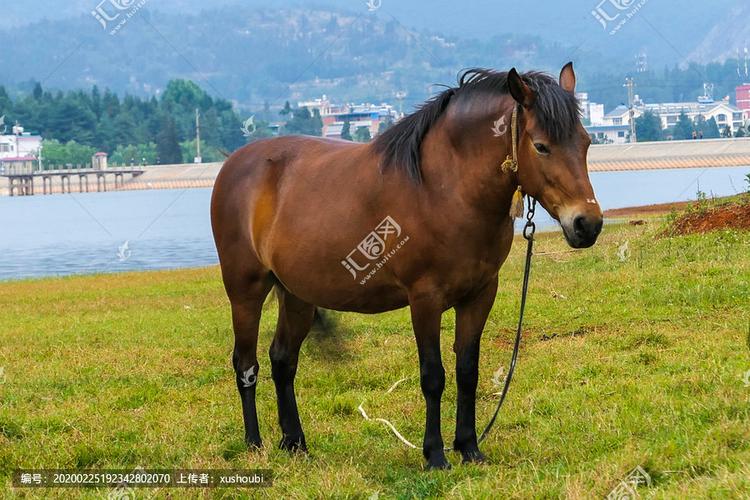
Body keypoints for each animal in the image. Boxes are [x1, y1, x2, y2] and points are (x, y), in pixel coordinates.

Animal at [210, 62, 603, 470]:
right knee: (246, 364)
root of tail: (234, 163)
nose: (586, 224)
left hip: (297, 295)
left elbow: (467, 371)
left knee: (283, 360)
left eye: (586, 142)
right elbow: (433, 376)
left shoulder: (479, 295)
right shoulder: (425, 299)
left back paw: (295, 443)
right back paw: (254, 444)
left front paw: (469, 447)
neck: (443, 189)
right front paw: (435, 455)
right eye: (541, 146)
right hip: (245, 292)